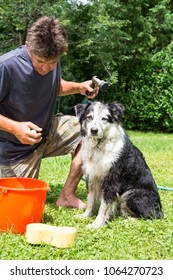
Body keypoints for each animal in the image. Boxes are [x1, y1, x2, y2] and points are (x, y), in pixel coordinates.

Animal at [74, 100, 164, 228]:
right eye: (89, 117)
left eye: (104, 118)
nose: (94, 130)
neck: (99, 146)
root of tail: (160, 209)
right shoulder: (92, 177)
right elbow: (91, 200)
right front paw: (86, 215)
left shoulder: (112, 181)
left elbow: (104, 206)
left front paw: (97, 224)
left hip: (132, 194)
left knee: (150, 216)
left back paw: (129, 220)